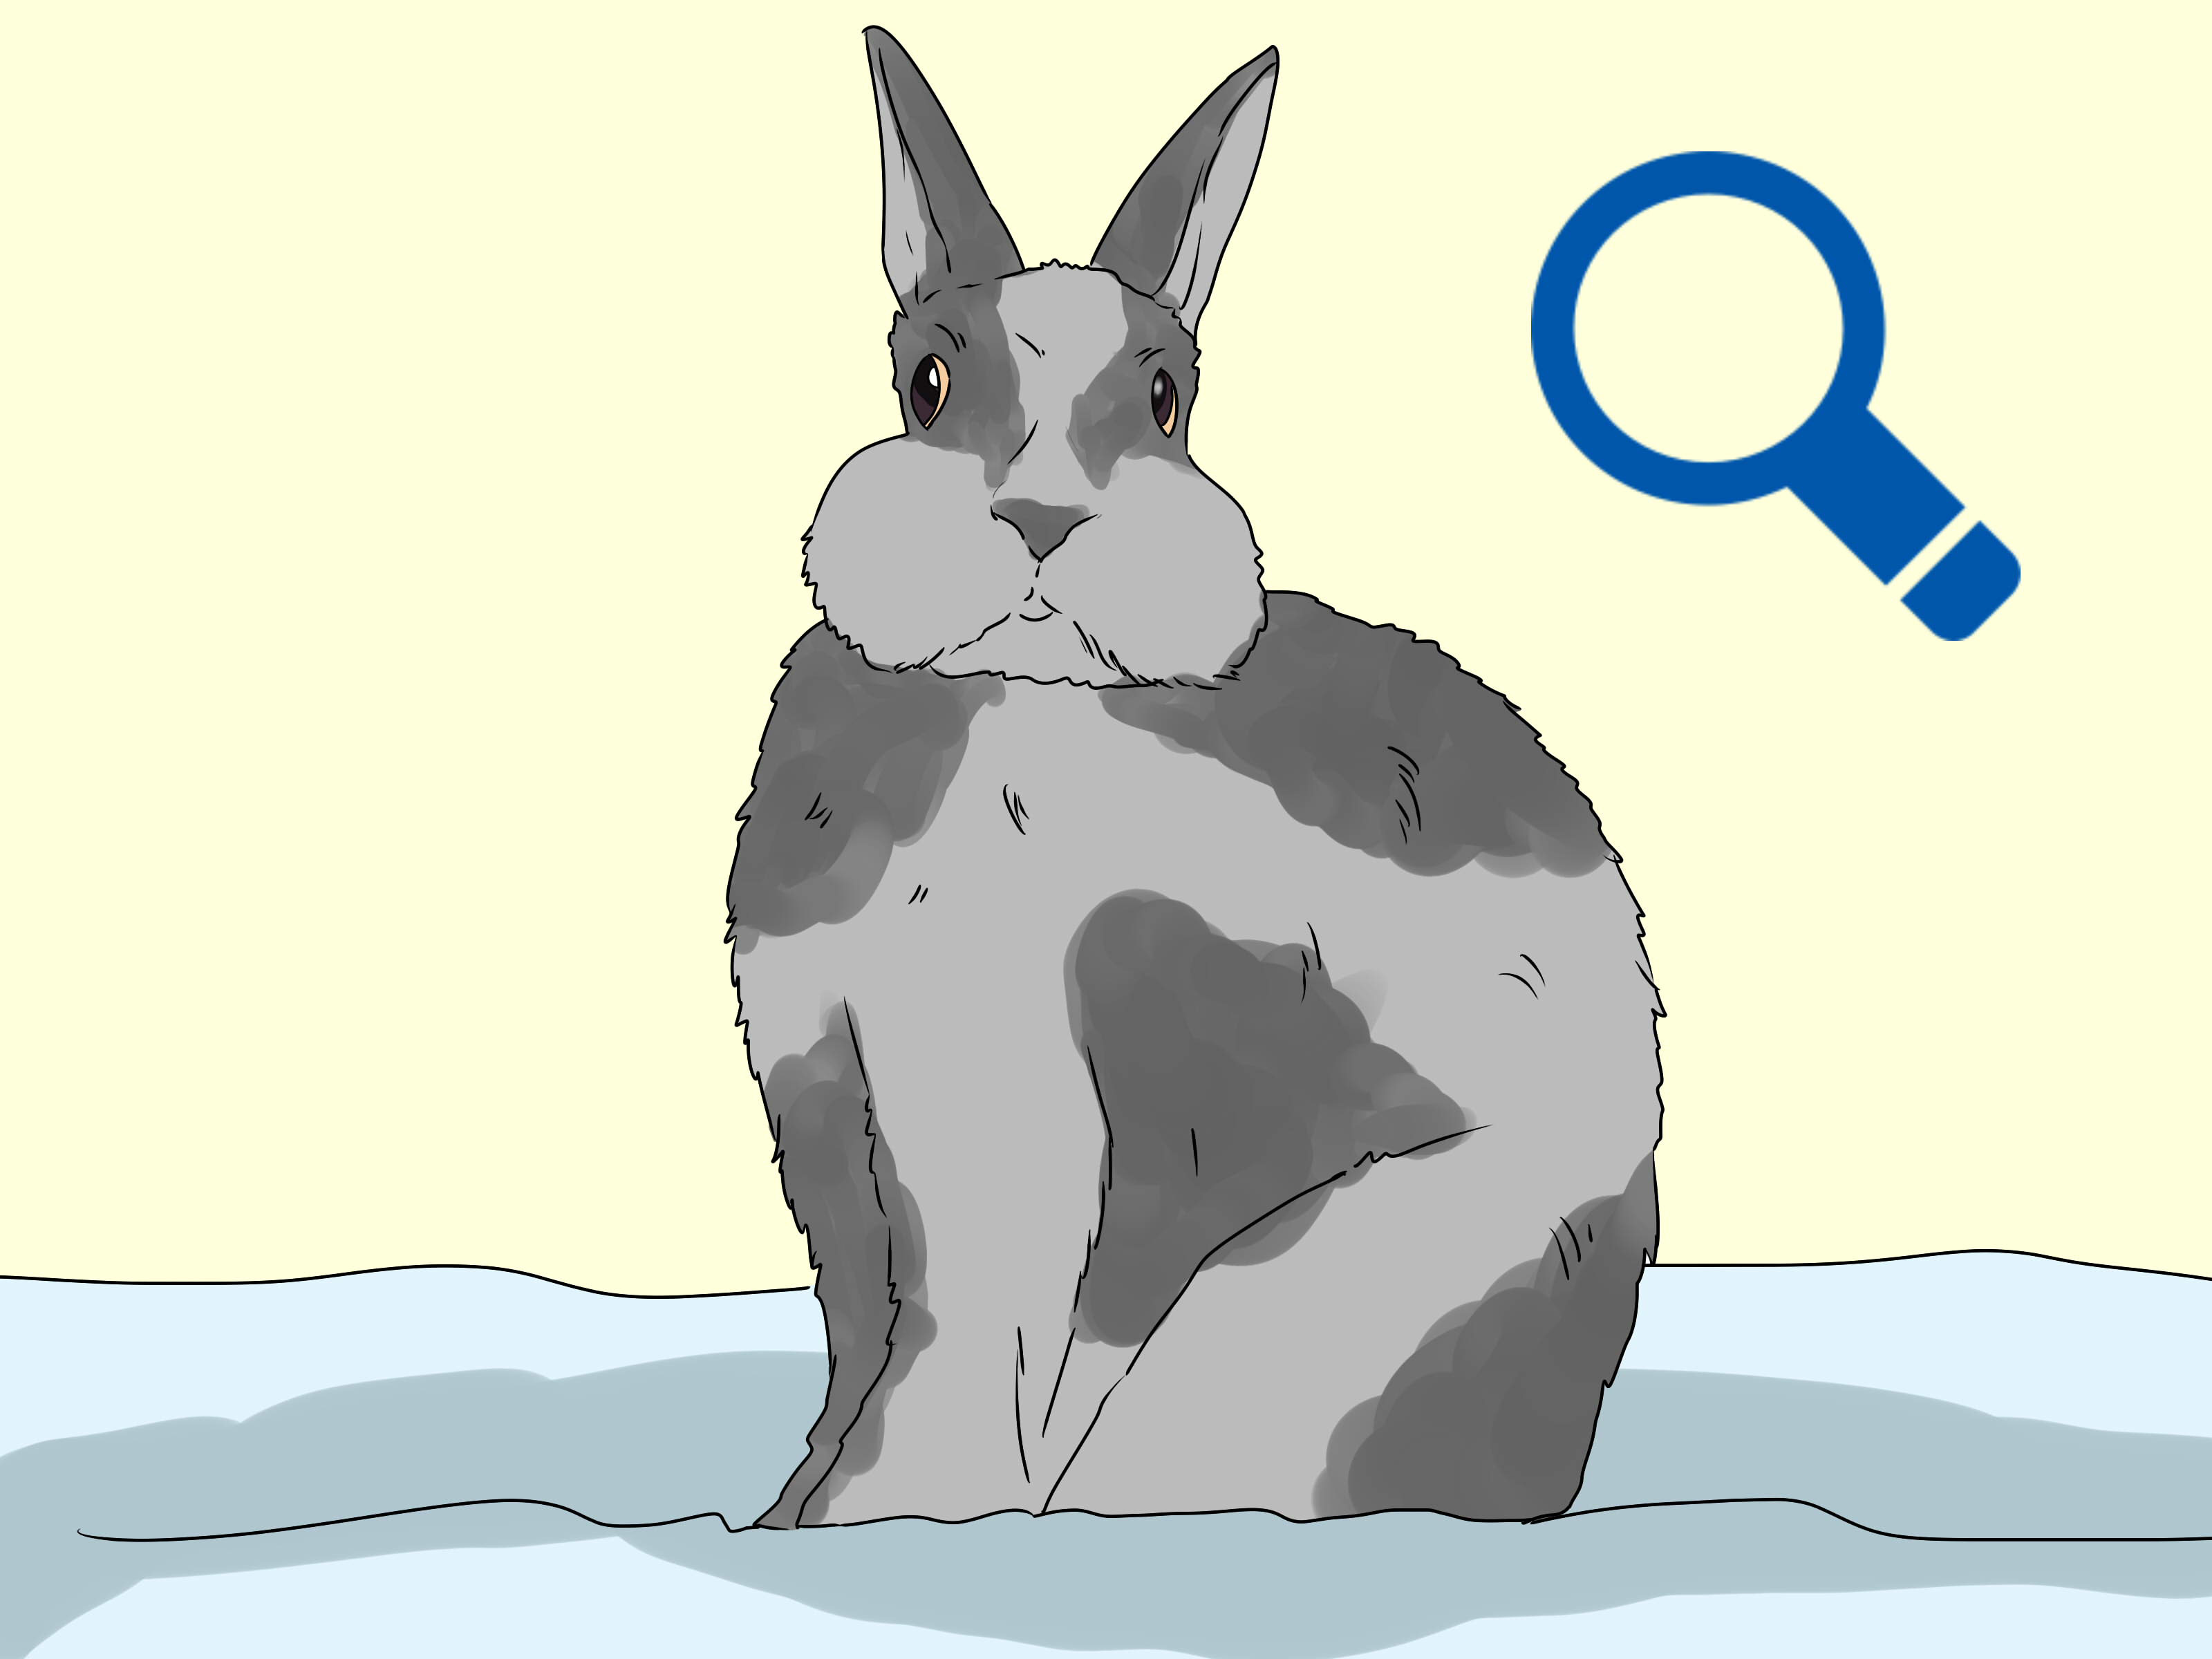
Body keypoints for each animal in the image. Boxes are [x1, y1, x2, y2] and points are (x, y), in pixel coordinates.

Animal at [727, 26, 1663, 1529]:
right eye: (927, 382)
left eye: (1166, 402)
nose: (1042, 519)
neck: (1019, 691)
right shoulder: (829, 1104)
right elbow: (863, 1342)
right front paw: (785, 1523)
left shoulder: (1005, 1112)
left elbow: (960, 1350)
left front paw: (892, 1528)